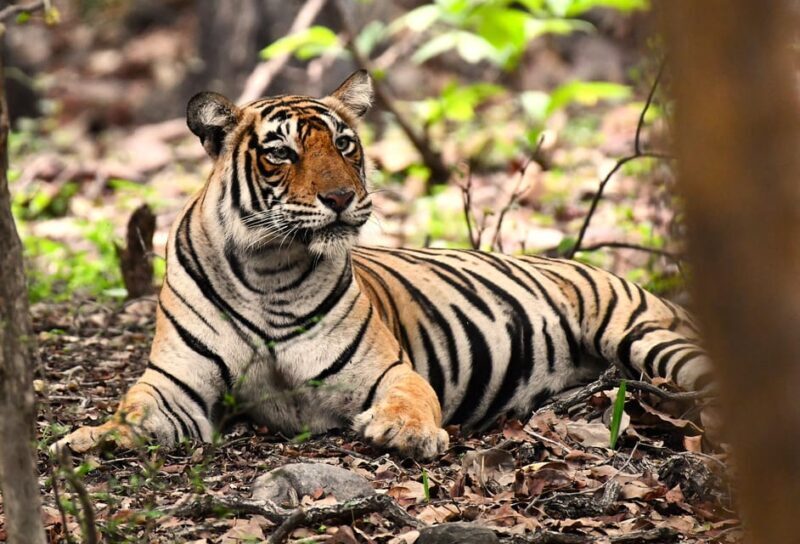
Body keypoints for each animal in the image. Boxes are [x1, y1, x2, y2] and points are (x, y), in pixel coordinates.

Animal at [54, 70, 712, 459]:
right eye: (280, 153)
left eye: (344, 143)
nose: (341, 197)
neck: (269, 268)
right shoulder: (176, 384)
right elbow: (133, 408)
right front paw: (86, 439)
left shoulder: (387, 369)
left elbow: (411, 398)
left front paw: (406, 432)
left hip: (644, 335)